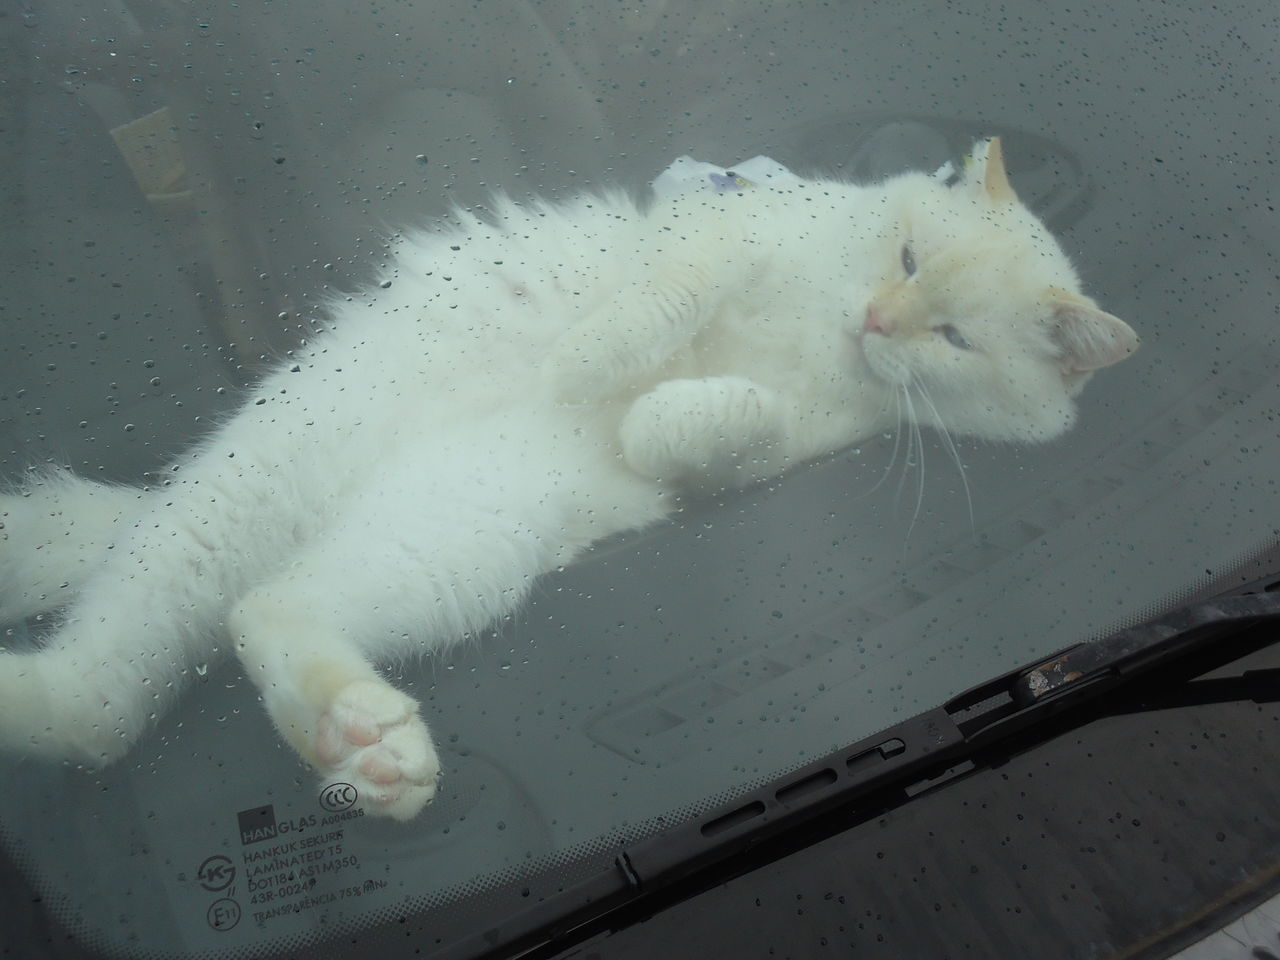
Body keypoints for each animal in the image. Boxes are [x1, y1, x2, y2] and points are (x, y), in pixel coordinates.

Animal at [0, 140, 1141, 819]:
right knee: (128, 666)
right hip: (248, 493)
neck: (825, 317)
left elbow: (710, 433)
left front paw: (648, 414)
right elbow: (673, 292)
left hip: (452, 544)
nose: (875, 320)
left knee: (229, 632)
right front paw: (590, 357)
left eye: (954, 338)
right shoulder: (718, 227)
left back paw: (364, 747)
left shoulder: (791, 442)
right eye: (905, 255)